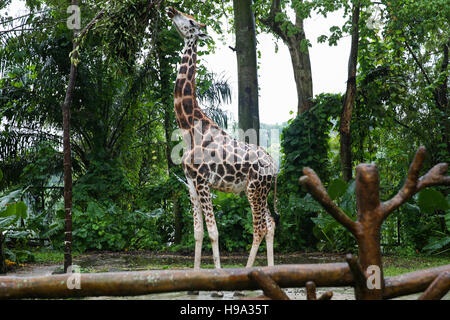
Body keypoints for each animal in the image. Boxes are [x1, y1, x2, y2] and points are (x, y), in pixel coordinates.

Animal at [168, 6, 278, 278]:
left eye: (191, 21)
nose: (171, 9)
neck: (189, 126)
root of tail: (275, 166)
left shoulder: (203, 181)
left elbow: (214, 232)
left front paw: (216, 273)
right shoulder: (190, 183)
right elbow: (198, 233)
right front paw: (195, 273)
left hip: (254, 189)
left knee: (259, 227)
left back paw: (248, 272)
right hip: (260, 191)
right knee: (270, 224)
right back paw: (273, 270)